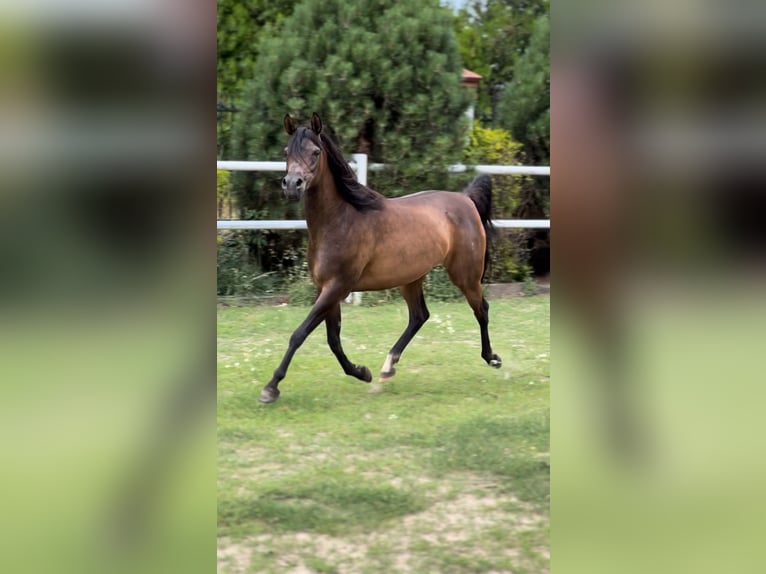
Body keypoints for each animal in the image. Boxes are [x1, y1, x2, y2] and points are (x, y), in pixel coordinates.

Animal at [260, 110, 504, 402]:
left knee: (481, 309)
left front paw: (271, 387)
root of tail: (466, 200)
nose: (292, 185)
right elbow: (333, 339)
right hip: (411, 278)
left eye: (315, 152)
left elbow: (300, 333)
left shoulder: (337, 287)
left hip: (465, 275)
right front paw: (362, 372)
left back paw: (492, 358)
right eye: (286, 151)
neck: (341, 220)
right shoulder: (326, 289)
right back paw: (388, 367)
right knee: (419, 316)